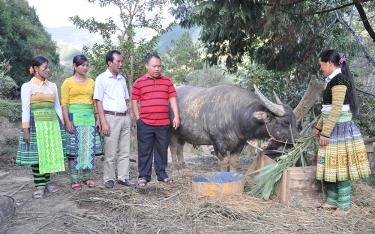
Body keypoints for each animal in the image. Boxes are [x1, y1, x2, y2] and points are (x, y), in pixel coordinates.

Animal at [171, 84, 300, 172]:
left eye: (294, 121)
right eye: (286, 122)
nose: (298, 140)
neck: (235, 115)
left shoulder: (240, 144)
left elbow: (234, 162)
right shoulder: (218, 143)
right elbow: (224, 162)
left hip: (182, 134)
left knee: (179, 147)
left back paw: (182, 164)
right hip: (172, 132)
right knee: (172, 148)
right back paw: (175, 166)